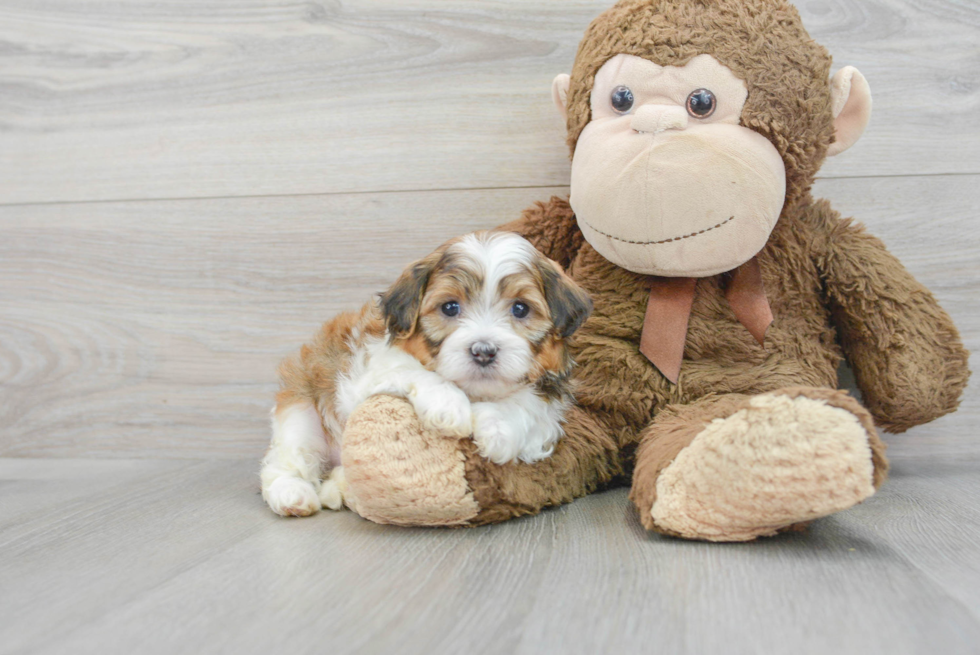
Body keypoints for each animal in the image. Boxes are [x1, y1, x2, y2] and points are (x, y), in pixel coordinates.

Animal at [258, 231, 588, 516]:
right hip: (301, 410)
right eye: (450, 307)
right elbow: (413, 370)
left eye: (520, 309)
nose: (483, 351)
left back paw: (338, 489)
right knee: (287, 458)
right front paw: (449, 407)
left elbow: (531, 405)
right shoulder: (368, 369)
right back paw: (292, 494)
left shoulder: (549, 402)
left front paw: (498, 429)